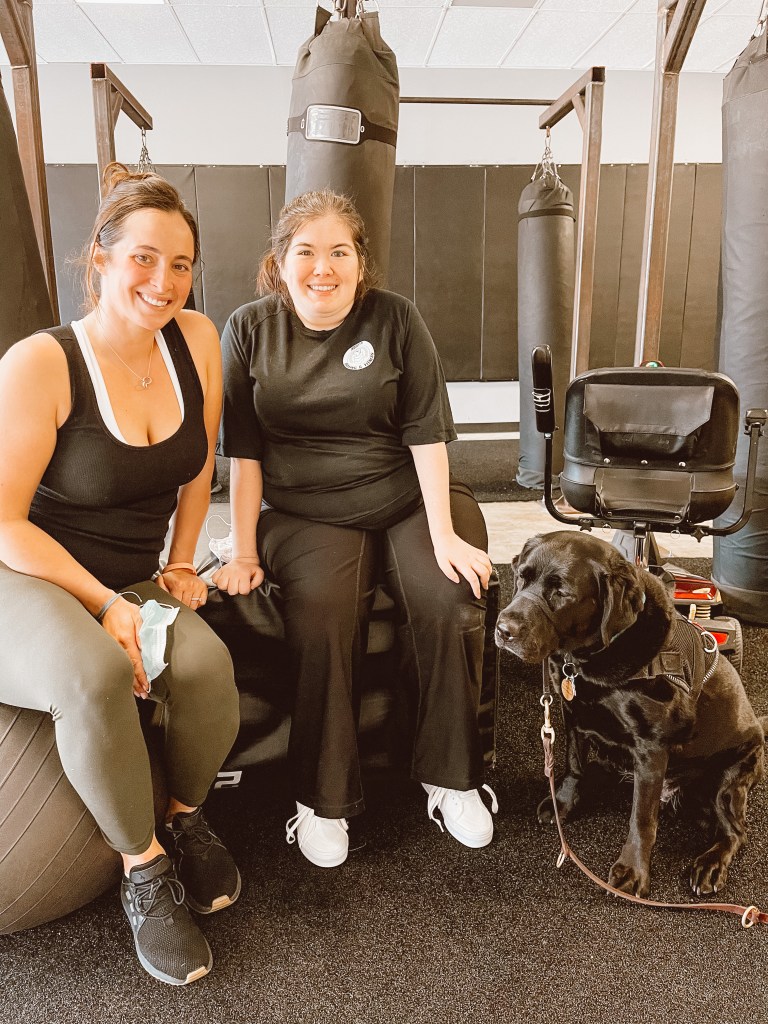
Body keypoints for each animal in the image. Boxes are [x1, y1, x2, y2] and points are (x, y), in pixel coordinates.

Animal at [495, 530, 767, 898]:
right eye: (522, 577)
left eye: (561, 592)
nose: (503, 629)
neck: (590, 659)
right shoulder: (574, 715)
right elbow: (574, 766)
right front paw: (563, 803)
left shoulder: (651, 748)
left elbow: (641, 818)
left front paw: (632, 871)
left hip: (728, 777)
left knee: (735, 833)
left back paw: (709, 865)